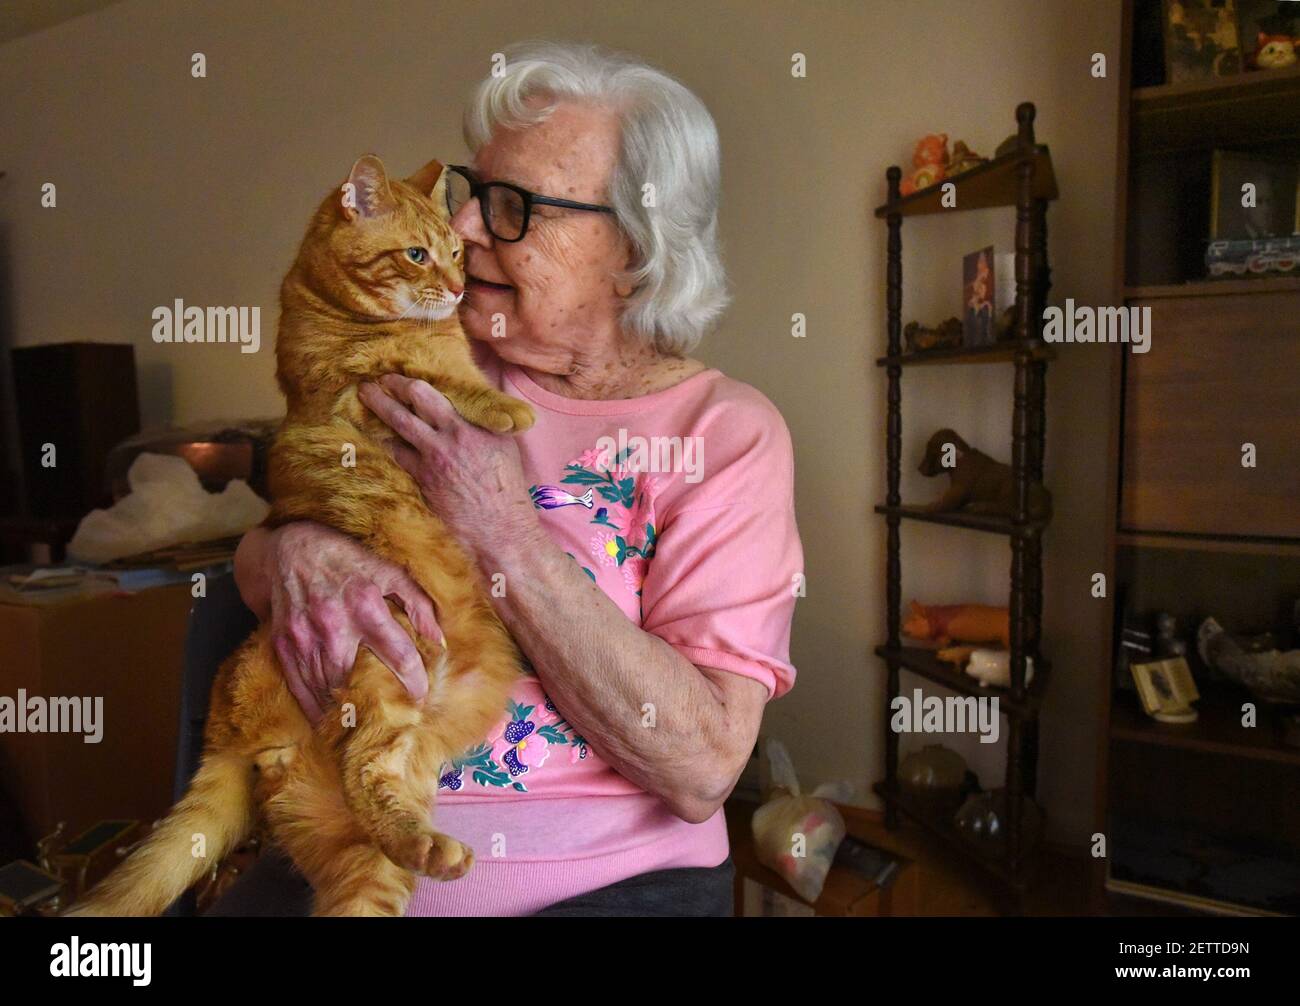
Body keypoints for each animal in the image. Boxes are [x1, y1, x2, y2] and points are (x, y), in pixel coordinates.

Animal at [68, 153, 535, 920]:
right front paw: (505, 406)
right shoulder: (362, 394)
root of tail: (223, 732)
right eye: (418, 255)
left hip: (365, 846)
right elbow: (435, 379)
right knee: (364, 769)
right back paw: (435, 845)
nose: (460, 287)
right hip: (384, 660)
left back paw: (428, 848)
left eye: (459, 252)